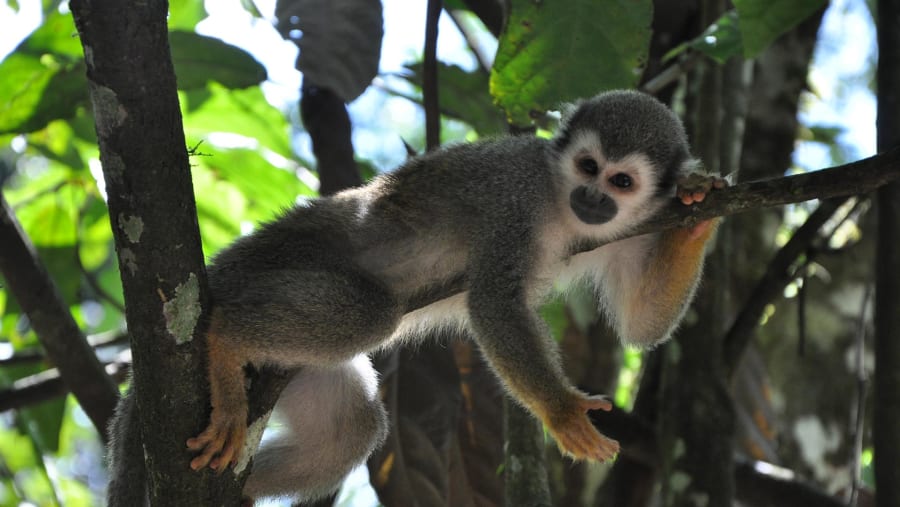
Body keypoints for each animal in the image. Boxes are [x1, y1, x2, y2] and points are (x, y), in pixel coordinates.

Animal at [110, 90, 724, 504]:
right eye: (589, 166)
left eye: (621, 182)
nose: (592, 198)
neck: (558, 200)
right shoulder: (516, 199)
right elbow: (493, 304)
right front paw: (564, 411)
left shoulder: (636, 226)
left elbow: (643, 327)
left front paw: (700, 202)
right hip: (284, 270)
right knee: (370, 316)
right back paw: (226, 340)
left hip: (292, 371)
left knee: (352, 429)